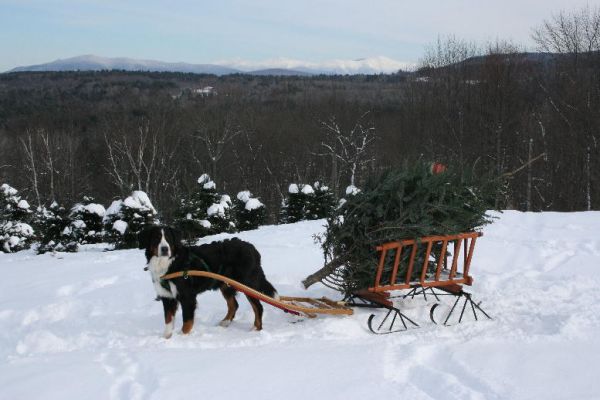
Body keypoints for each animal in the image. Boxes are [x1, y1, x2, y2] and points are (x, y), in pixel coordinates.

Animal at [138, 225, 276, 338]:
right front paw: (166, 338)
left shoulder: (187, 297)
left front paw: (182, 337)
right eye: (156, 238)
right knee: (234, 304)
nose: (165, 249)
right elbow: (168, 320)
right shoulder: (167, 297)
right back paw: (225, 322)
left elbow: (187, 322)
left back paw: (256, 329)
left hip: (247, 283)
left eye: (168, 239)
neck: (169, 264)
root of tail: (251, 248)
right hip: (226, 284)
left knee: (258, 306)